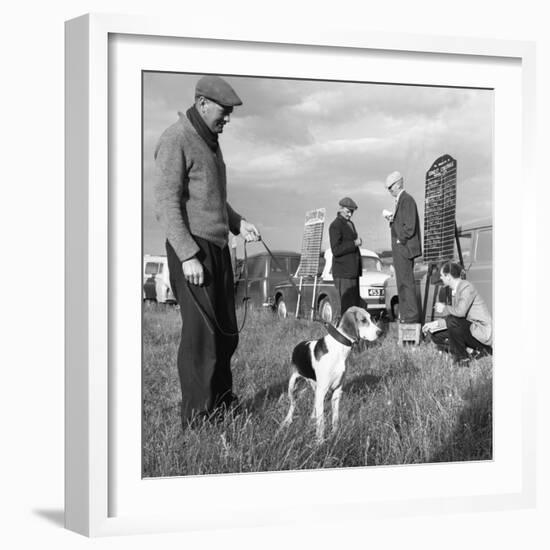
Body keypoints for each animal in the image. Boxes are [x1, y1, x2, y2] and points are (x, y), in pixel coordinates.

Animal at [282, 306, 382, 444]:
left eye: (371, 318)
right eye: (363, 320)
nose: (380, 332)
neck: (339, 348)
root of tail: (298, 345)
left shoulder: (337, 391)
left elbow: (335, 417)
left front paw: (335, 434)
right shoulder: (323, 390)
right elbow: (322, 422)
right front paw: (320, 442)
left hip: (316, 388)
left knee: (314, 404)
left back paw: (312, 418)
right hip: (292, 386)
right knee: (293, 404)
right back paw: (287, 421)